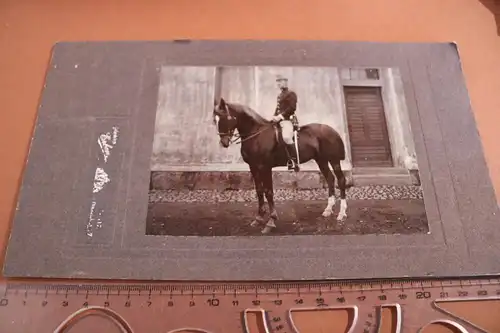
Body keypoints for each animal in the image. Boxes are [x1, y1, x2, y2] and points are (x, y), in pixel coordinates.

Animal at [213, 97, 350, 233]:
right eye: (215, 120)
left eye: (226, 118)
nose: (224, 143)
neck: (257, 134)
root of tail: (331, 130)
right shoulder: (253, 167)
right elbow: (259, 191)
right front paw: (259, 218)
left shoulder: (265, 168)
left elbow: (268, 192)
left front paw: (271, 221)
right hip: (321, 160)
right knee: (330, 179)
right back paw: (328, 210)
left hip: (334, 160)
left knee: (341, 180)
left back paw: (342, 213)